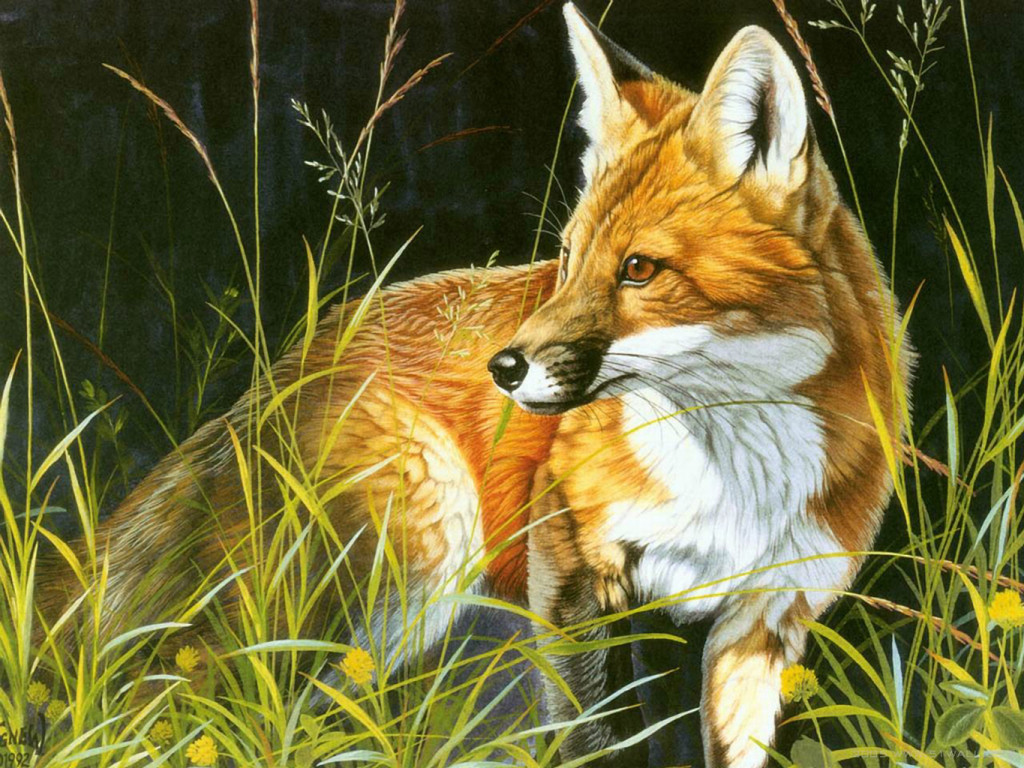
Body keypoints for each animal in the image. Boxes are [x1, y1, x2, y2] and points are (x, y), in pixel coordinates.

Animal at [35, 5, 910, 767]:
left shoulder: (762, 623)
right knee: (193, 707)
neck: (734, 479)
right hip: (418, 542)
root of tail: (283, 372)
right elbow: (591, 741)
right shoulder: (568, 570)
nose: (506, 367)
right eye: (568, 258)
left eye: (639, 269)